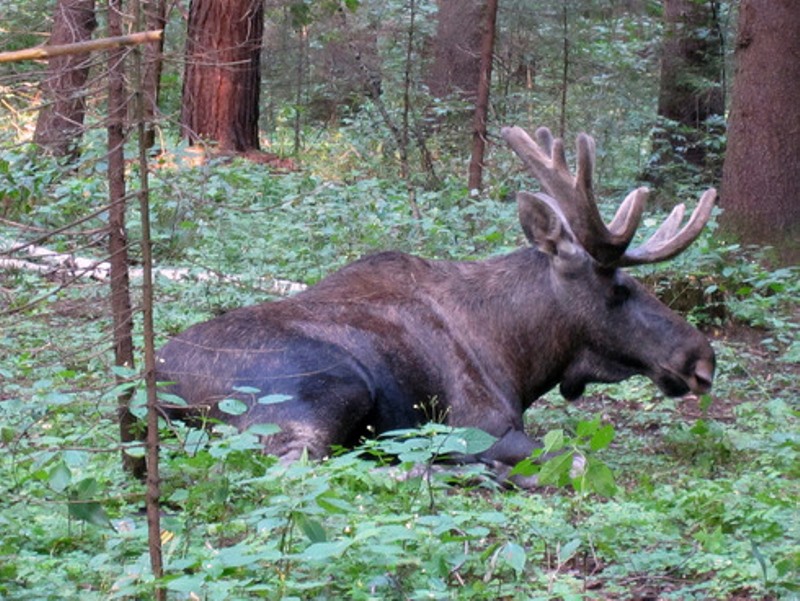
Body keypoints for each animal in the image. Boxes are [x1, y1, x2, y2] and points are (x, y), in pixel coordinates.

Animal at [156, 126, 720, 478]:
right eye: (619, 289)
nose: (703, 361)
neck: (521, 356)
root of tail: (157, 390)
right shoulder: (482, 425)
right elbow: (578, 460)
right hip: (321, 393)